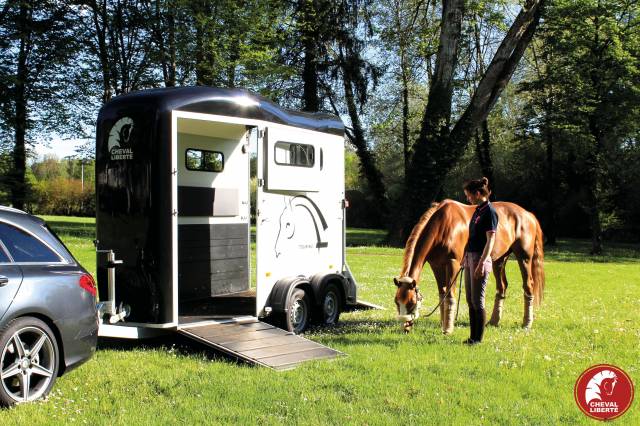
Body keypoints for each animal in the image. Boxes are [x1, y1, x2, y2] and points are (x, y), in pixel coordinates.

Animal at [390, 198, 544, 334]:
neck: (444, 225)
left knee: (528, 285)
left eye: (411, 302)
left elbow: (450, 295)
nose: (405, 328)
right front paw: (443, 323)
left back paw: (527, 323)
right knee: (502, 287)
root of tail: (528, 214)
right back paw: (493, 321)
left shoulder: (453, 263)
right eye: (397, 302)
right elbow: (442, 293)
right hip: (499, 260)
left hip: (524, 258)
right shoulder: (436, 265)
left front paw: (448, 328)